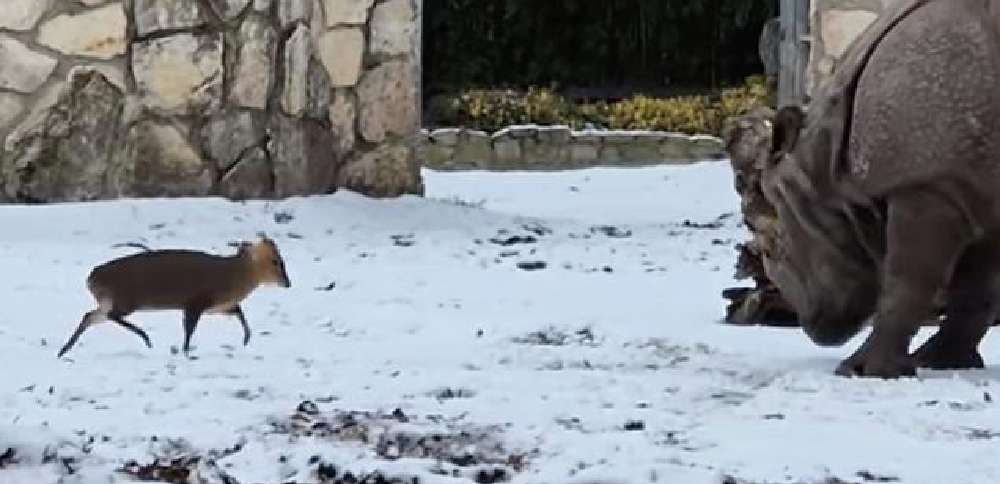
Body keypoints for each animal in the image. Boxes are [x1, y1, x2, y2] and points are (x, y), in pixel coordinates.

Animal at [56, 235, 291, 359]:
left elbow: (239, 313)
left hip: (108, 301)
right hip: (125, 299)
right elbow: (189, 329)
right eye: (275, 261)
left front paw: (247, 339)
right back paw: (146, 339)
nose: (288, 283)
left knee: (89, 316)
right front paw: (186, 352)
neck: (234, 276)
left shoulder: (218, 306)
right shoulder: (195, 302)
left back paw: (63, 350)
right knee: (110, 316)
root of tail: (90, 279)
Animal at [762, 0, 1000, 378]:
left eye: (774, 248)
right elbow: (977, 288)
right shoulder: (976, 192)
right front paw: (941, 362)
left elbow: (908, 279)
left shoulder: (928, 185)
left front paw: (862, 370)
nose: (811, 327)